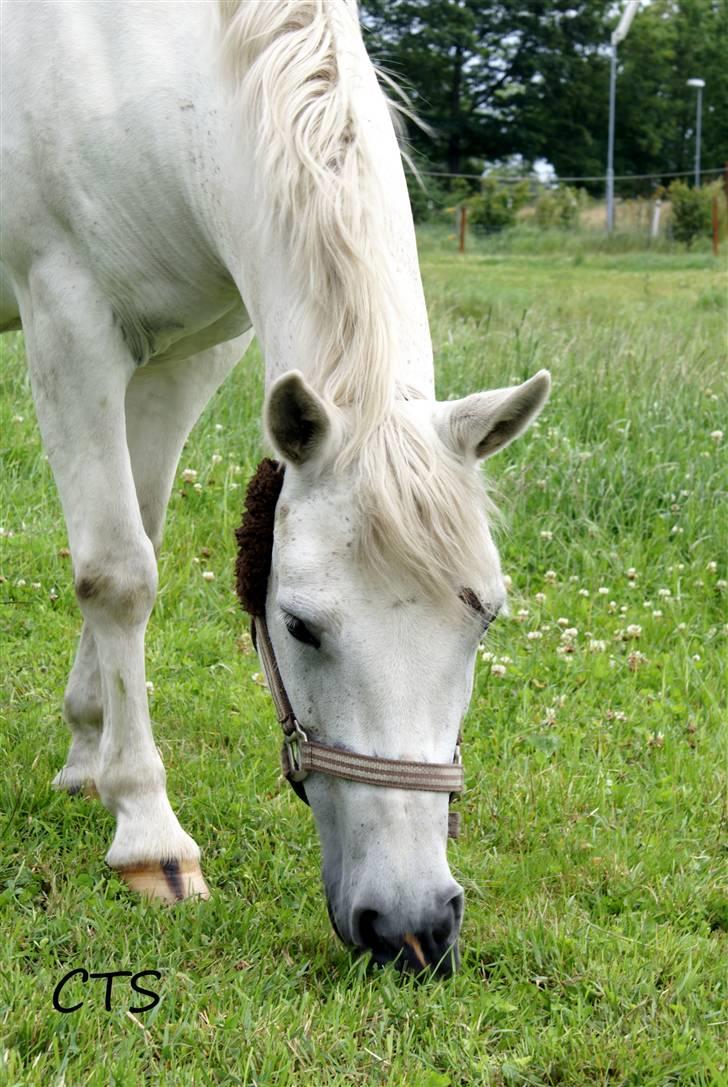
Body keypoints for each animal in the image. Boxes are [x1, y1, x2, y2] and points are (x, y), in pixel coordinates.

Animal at [0, 2, 547, 978]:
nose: (414, 926)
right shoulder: (69, 326)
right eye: (298, 626)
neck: (146, 62)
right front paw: (148, 829)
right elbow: (116, 573)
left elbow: (139, 535)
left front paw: (88, 752)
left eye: (485, 617)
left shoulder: (190, 354)